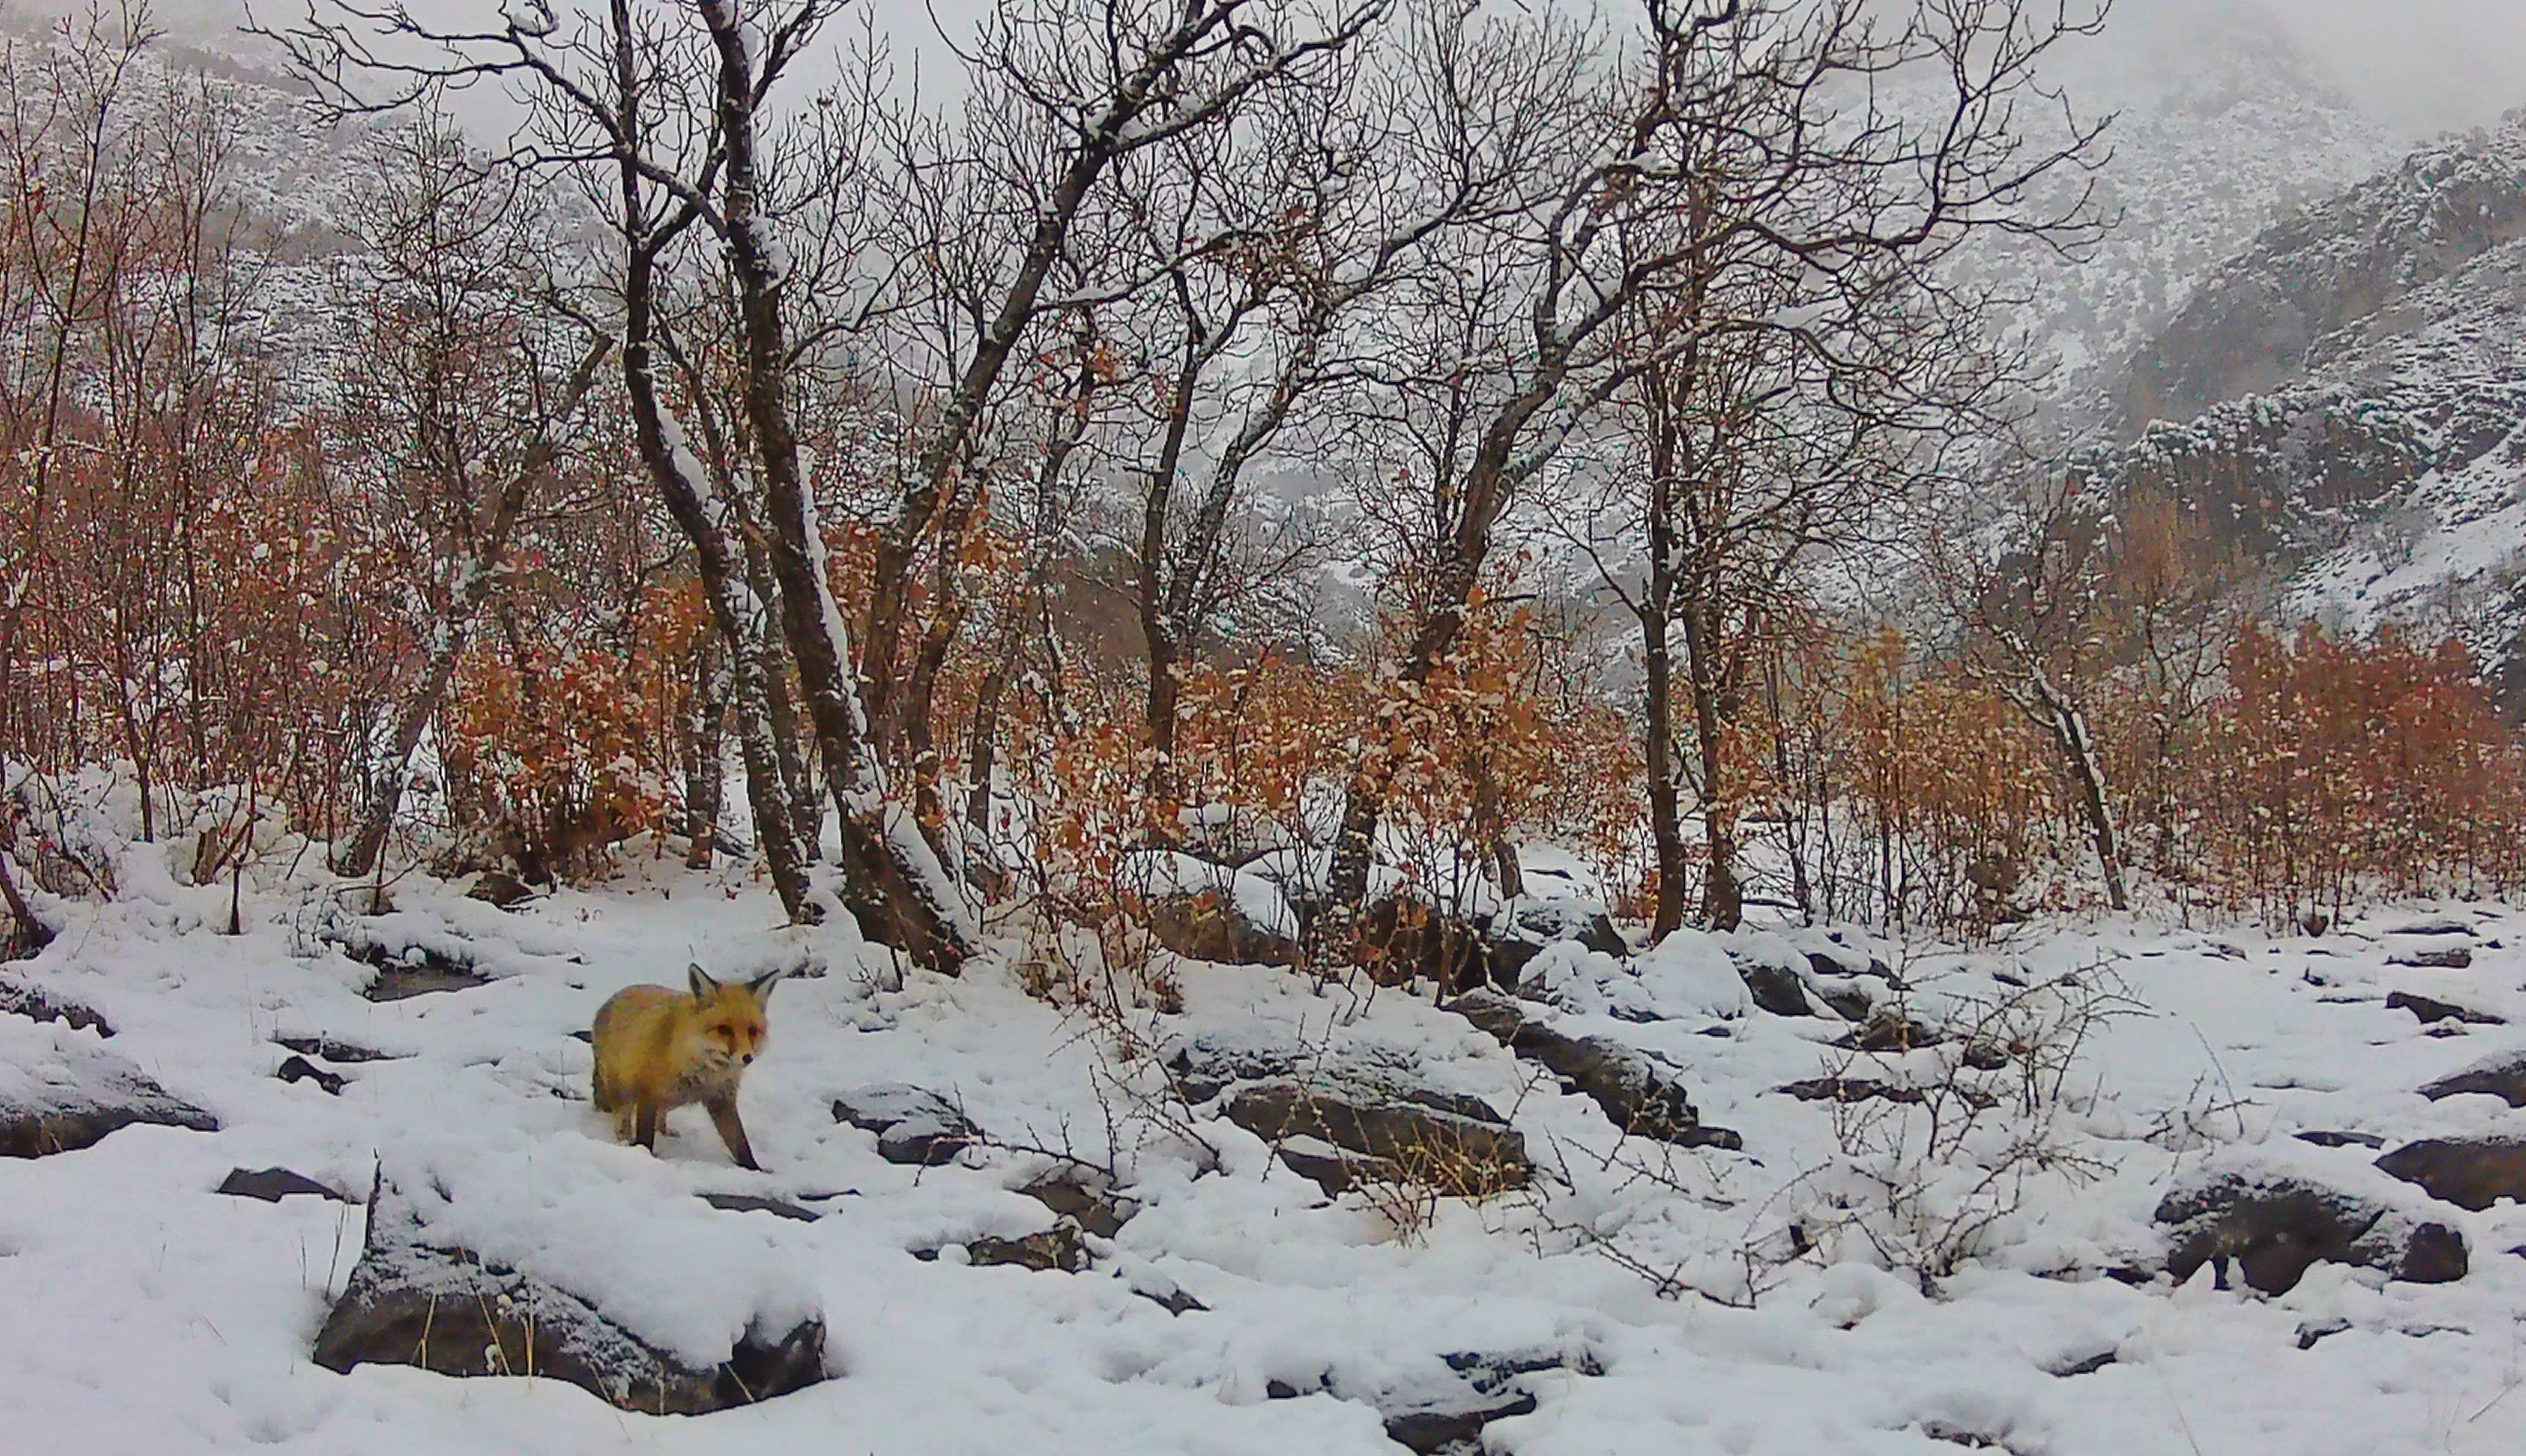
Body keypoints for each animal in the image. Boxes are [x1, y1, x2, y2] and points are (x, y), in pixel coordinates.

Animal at [590, 963, 788, 1171]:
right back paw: (624, 1141)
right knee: (622, 1119)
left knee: (660, 1116)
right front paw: (644, 1156)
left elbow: (741, 1144)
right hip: (623, 1091)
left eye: (753, 1031)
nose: (747, 1057)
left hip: (669, 1099)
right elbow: (645, 1135)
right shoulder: (648, 1092)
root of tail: (613, 998)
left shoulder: (722, 1099)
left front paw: (755, 1170)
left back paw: (665, 1132)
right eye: (725, 1029)